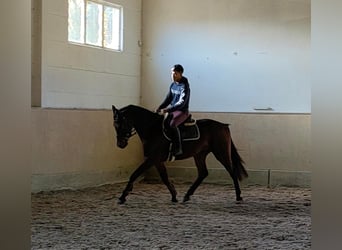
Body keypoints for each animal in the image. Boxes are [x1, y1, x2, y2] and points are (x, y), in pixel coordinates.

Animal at [112, 104, 248, 204]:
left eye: (122, 123)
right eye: (115, 125)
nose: (120, 144)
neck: (152, 129)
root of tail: (223, 125)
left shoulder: (152, 159)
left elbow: (134, 174)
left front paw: (123, 196)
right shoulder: (157, 160)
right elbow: (164, 177)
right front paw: (174, 195)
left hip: (221, 153)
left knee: (232, 171)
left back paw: (238, 196)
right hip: (199, 154)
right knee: (203, 173)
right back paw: (187, 195)